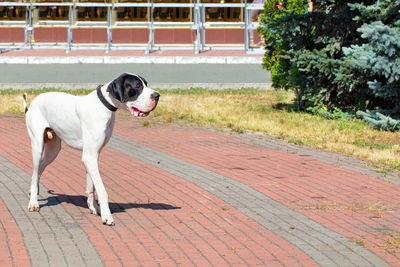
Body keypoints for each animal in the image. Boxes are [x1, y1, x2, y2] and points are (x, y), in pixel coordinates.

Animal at [23, 73, 159, 226]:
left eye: (146, 84)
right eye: (137, 86)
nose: (157, 95)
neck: (103, 106)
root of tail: (34, 102)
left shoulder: (93, 155)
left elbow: (91, 186)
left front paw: (94, 207)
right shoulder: (90, 156)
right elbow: (101, 190)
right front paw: (107, 216)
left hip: (53, 150)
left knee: (38, 170)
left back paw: (33, 191)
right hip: (37, 146)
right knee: (35, 170)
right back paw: (33, 203)